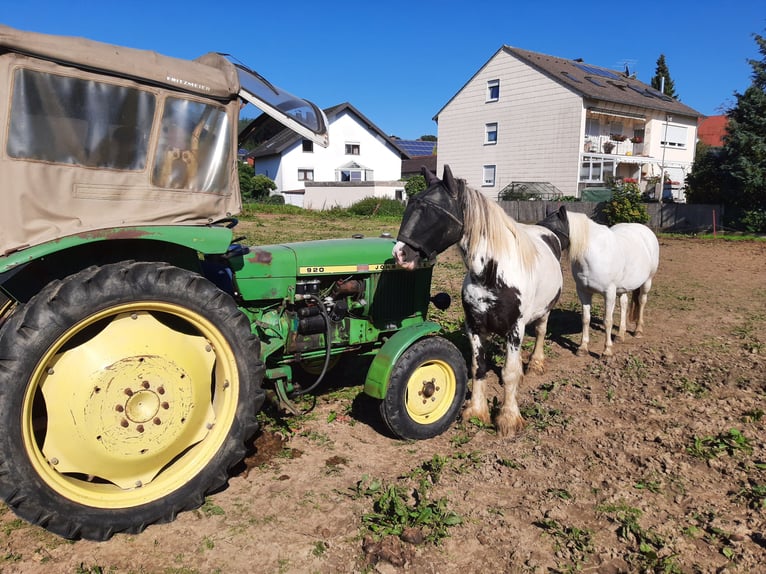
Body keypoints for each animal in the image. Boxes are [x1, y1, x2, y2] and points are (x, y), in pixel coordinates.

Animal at [396, 166, 568, 436]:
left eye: (433, 210)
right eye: (410, 203)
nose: (400, 254)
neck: (491, 275)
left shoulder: (515, 329)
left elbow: (509, 373)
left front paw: (508, 418)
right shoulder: (474, 326)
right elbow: (479, 367)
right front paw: (476, 412)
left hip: (545, 310)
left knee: (540, 332)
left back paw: (535, 364)